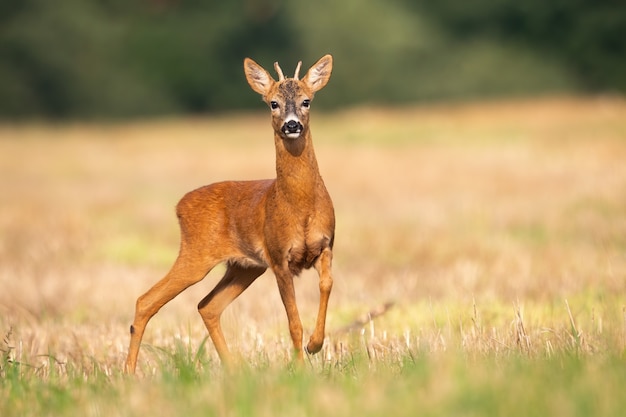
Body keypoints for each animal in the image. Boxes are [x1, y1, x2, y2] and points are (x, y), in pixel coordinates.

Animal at [123, 55, 334, 374]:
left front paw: (315, 344)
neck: (303, 207)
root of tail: (179, 205)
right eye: (273, 103)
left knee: (207, 306)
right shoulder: (278, 257)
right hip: (196, 254)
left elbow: (326, 285)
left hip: (244, 266)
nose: (291, 124)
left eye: (306, 101)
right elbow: (293, 322)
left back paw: (235, 369)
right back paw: (127, 373)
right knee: (146, 300)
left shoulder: (326, 245)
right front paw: (300, 367)